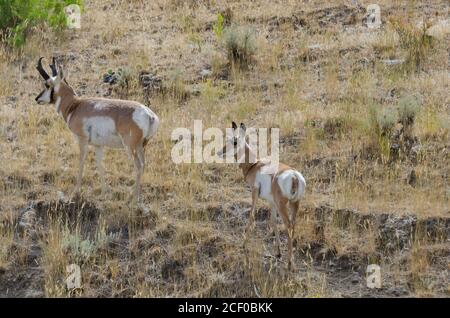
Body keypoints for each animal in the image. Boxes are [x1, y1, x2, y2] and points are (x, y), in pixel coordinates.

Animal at [36, 57, 160, 205]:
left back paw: (134, 198)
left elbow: (81, 162)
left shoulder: (82, 141)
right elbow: (100, 165)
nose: (37, 99)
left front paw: (76, 192)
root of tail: (148, 114)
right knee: (144, 164)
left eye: (47, 85)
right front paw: (105, 192)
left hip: (130, 148)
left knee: (138, 166)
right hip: (141, 146)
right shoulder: (98, 145)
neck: (75, 105)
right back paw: (133, 194)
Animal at [217, 121, 306, 268]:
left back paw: (289, 263)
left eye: (235, 141)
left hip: (283, 206)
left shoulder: (254, 193)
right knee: (293, 225)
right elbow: (273, 221)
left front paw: (243, 244)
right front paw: (278, 252)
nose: (220, 152)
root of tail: (294, 176)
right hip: (294, 204)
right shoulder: (271, 202)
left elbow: (252, 216)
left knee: (288, 225)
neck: (254, 165)